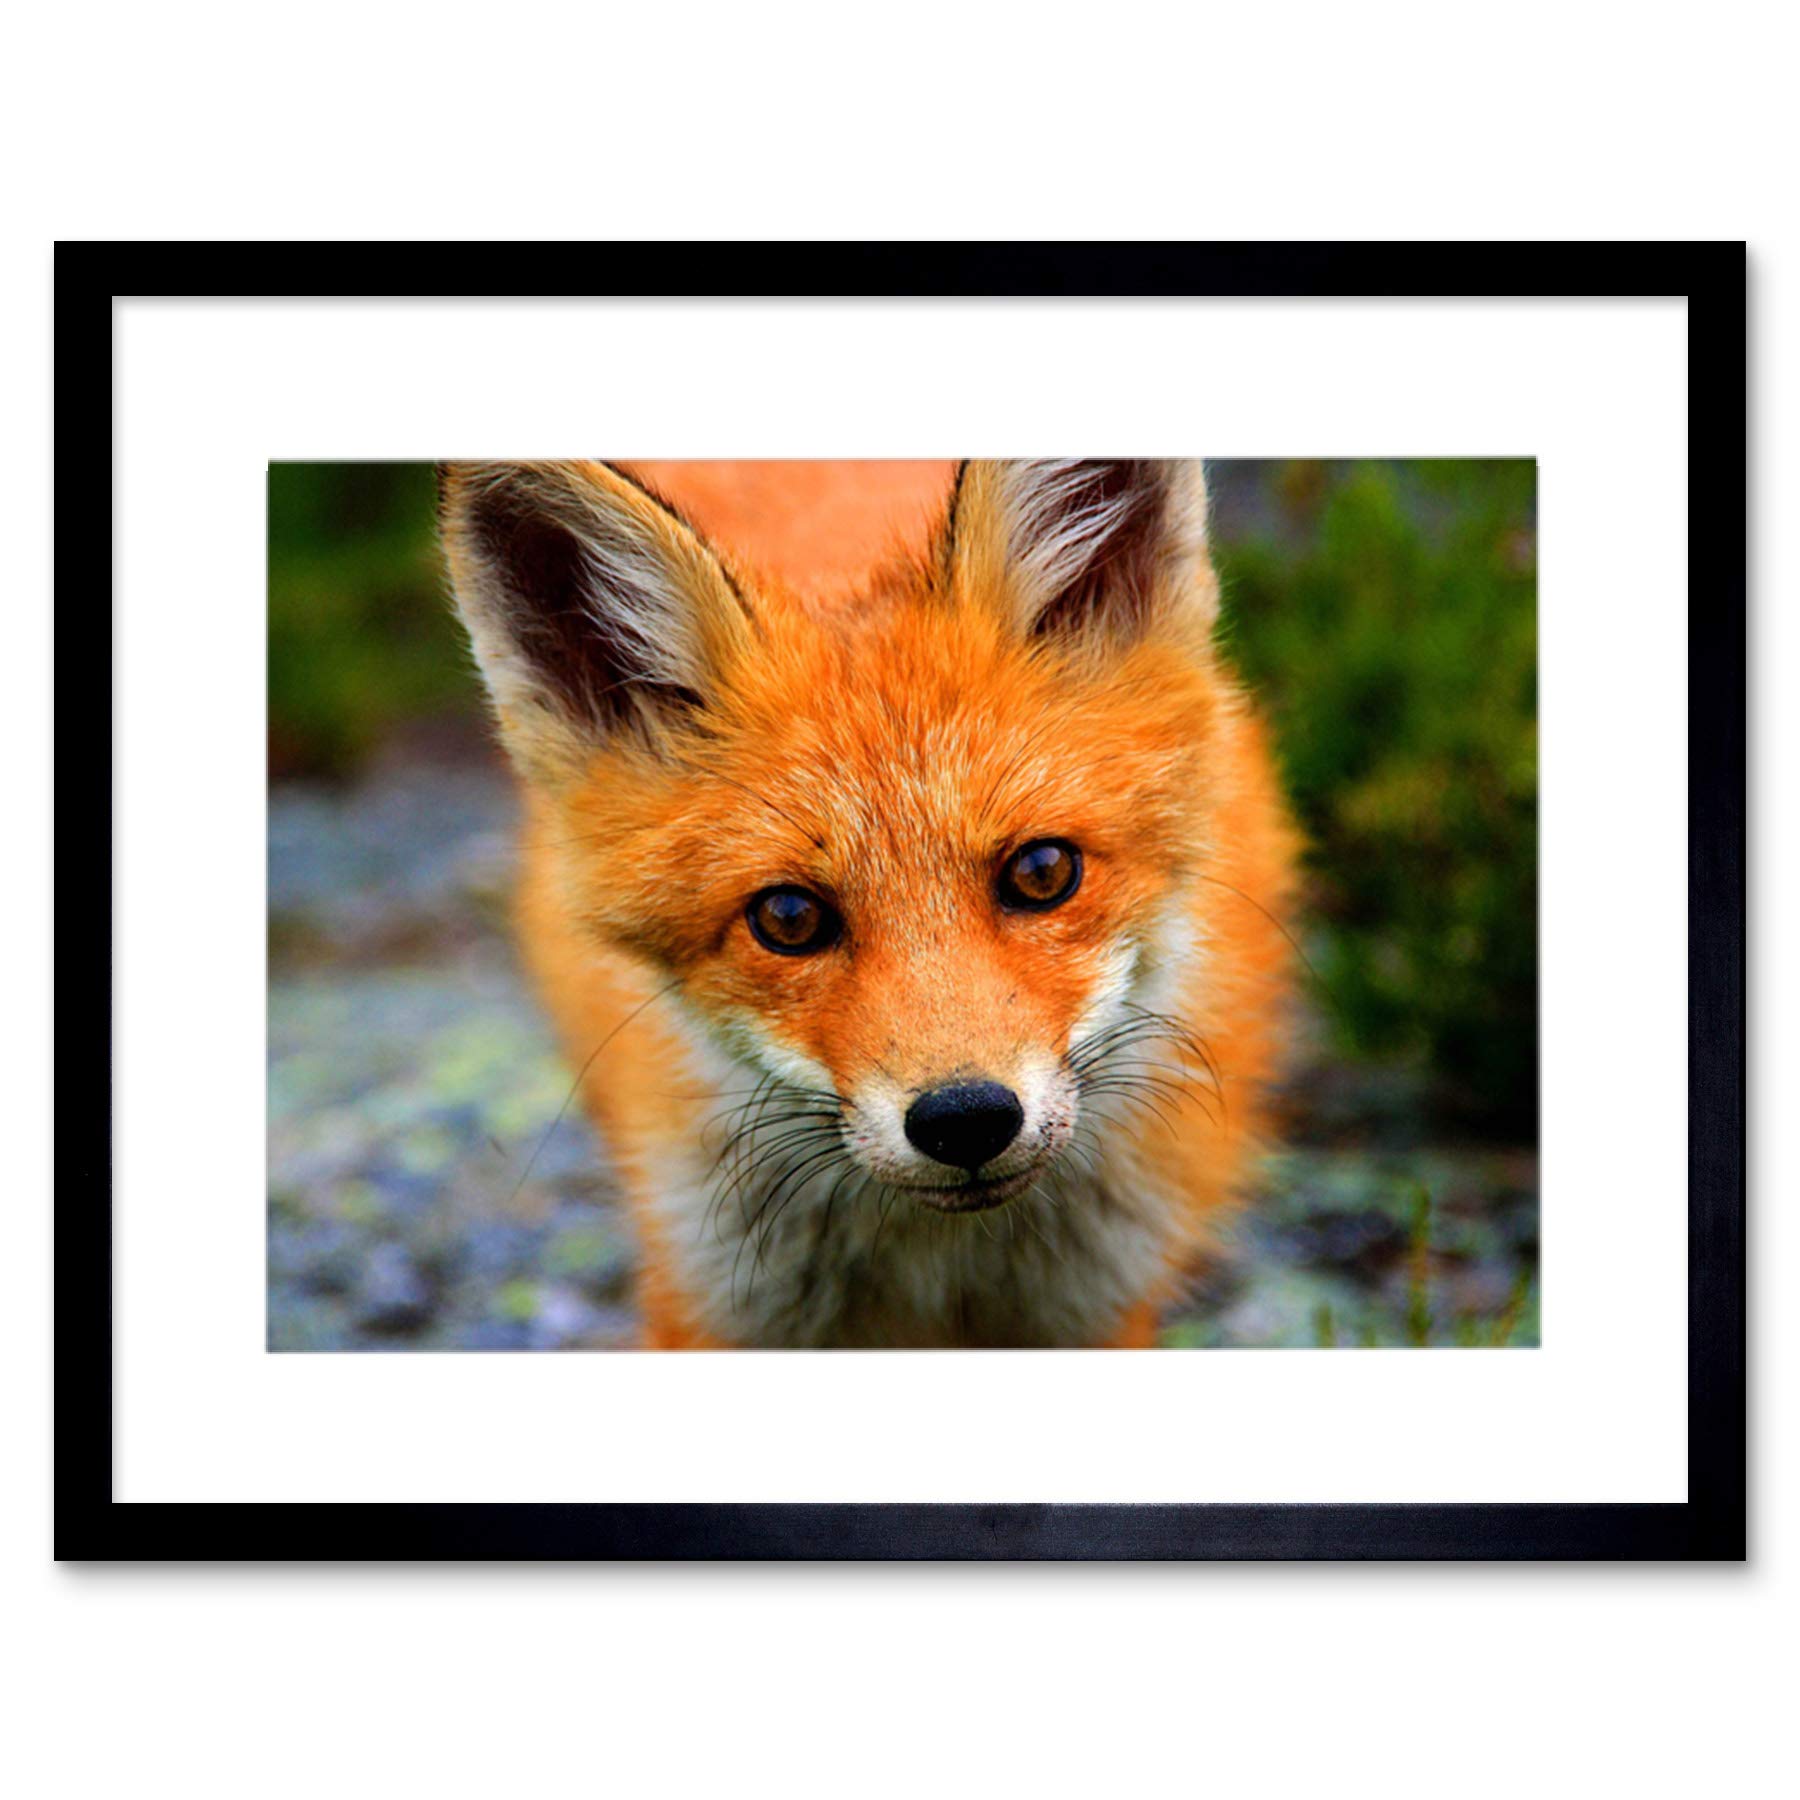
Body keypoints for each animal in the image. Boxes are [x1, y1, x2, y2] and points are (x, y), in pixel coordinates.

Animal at [440, 458, 1296, 1348]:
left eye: (1042, 871)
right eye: (788, 919)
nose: (966, 1118)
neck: (942, 1272)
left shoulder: (1099, 1306)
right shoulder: (710, 1301)